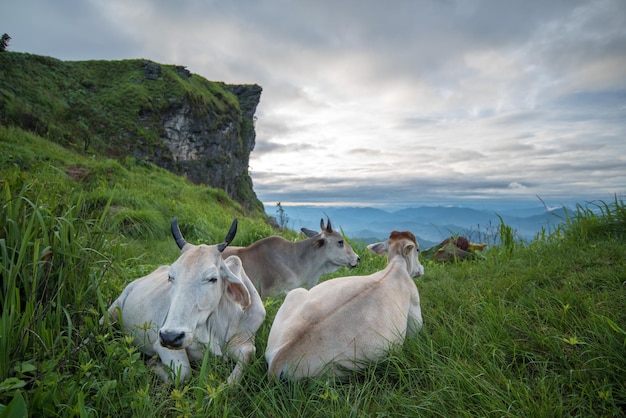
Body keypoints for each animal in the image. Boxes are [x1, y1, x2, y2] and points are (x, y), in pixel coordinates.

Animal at [264, 230, 424, 380]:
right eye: (417, 249)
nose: (422, 269)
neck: (397, 266)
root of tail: (277, 361)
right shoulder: (415, 305)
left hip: (295, 293)